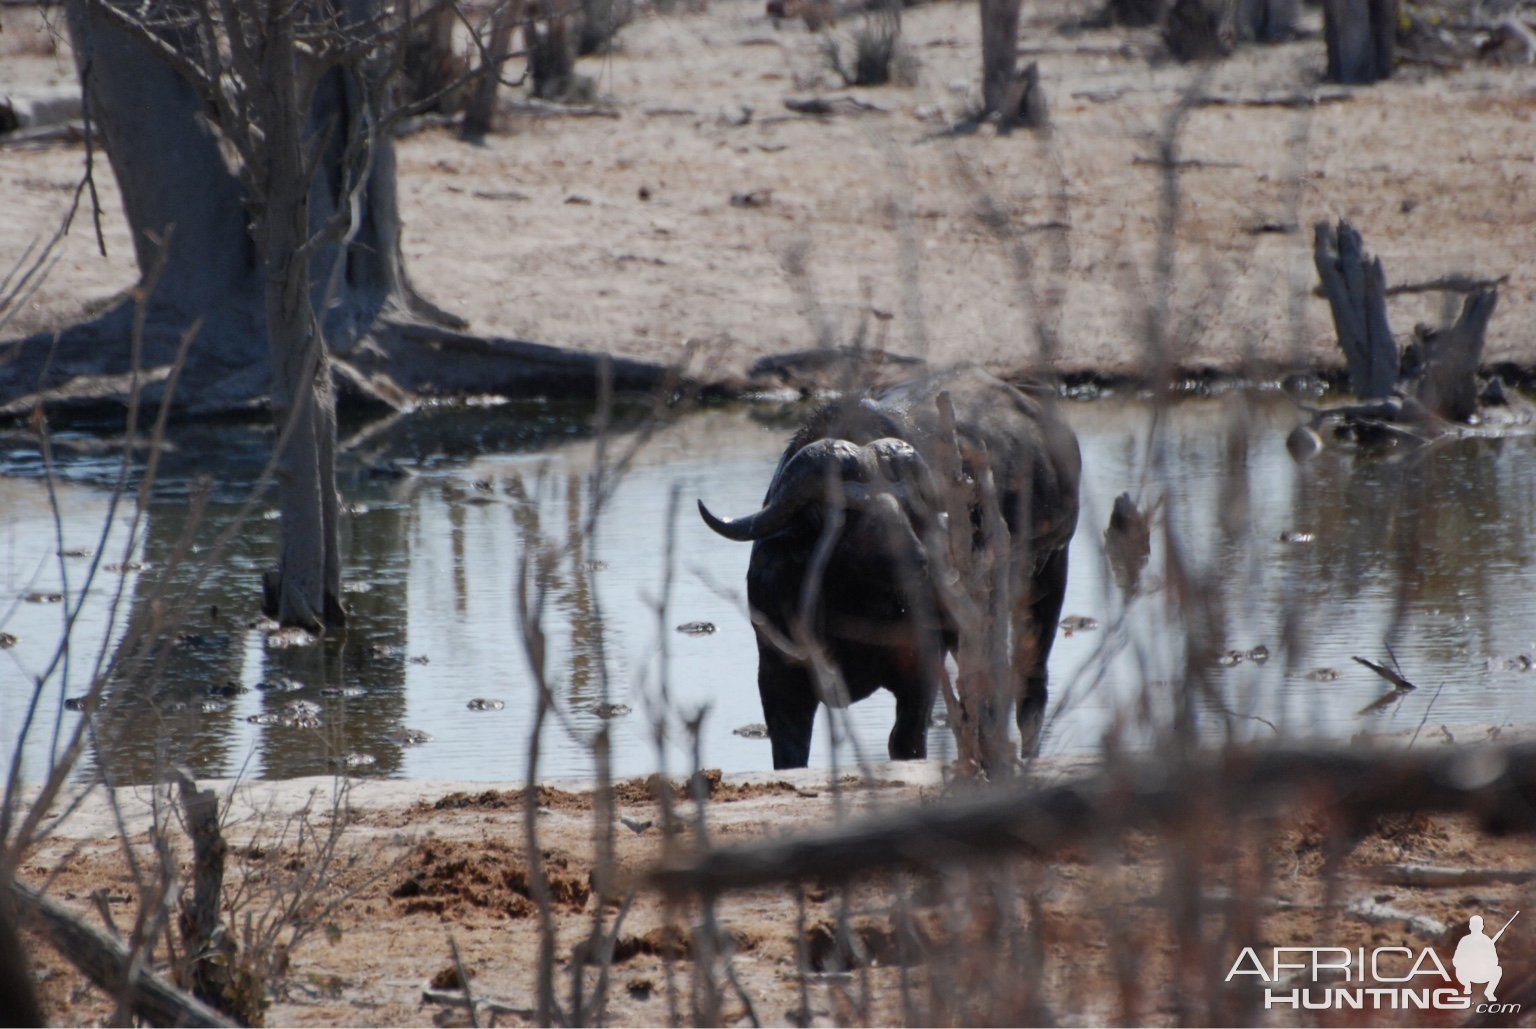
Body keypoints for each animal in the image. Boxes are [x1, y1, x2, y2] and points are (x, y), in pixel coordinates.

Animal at [700, 367, 1081, 770]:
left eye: (908, 506)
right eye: (844, 512)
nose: (917, 561)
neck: (851, 604)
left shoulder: (920, 668)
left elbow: (906, 743)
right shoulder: (778, 674)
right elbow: (789, 752)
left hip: (1049, 575)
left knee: (1029, 688)